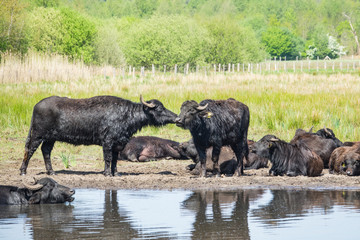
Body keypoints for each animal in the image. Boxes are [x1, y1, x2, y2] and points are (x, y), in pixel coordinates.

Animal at [19, 95, 177, 176]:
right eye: (159, 109)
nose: (176, 117)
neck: (127, 114)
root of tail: (36, 105)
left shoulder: (118, 144)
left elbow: (114, 159)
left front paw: (116, 173)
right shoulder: (107, 142)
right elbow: (107, 158)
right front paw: (107, 173)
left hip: (50, 139)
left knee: (45, 151)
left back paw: (51, 172)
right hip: (38, 135)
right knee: (29, 150)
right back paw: (23, 171)